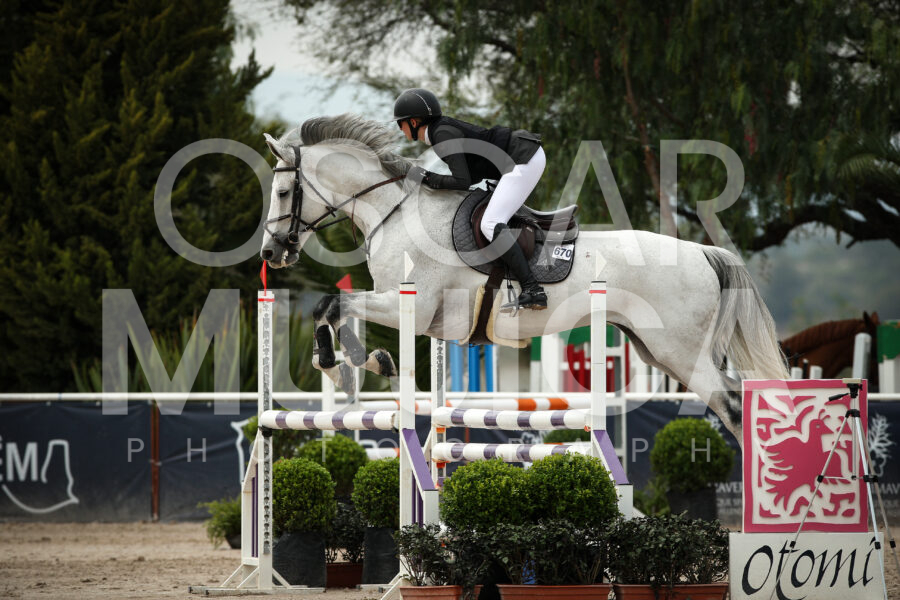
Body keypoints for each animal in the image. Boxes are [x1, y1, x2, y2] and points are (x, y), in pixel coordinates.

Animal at [259, 114, 789, 446]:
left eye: (283, 192)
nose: (270, 253)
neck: (396, 212)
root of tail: (703, 252)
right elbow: (333, 309)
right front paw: (361, 362)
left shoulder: (408, 303)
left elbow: (331, 305)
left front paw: (343, 364)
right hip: (657, 350)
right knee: (735, 399)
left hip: (680, 351)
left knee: (732, 406)